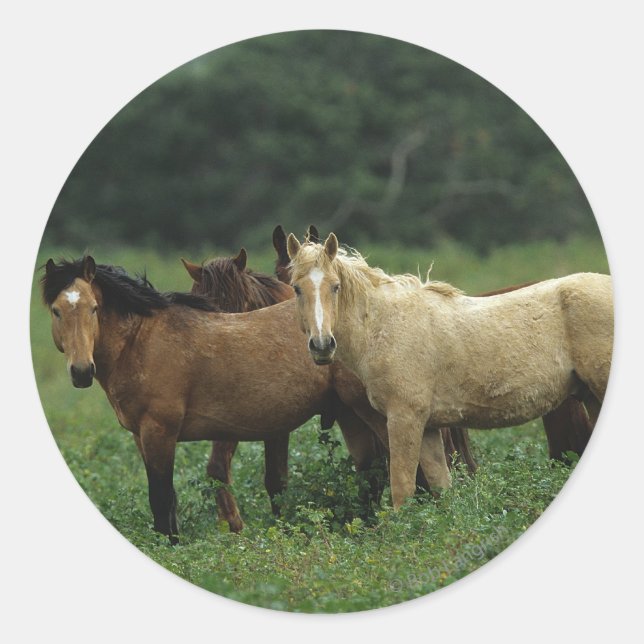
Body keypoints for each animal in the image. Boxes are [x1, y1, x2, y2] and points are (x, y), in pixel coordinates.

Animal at [41, 256, 386, 541]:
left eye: (94, 308)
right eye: (56, 311)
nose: (81, 371)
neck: (141, 340)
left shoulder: (159, 432)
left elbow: (161, 498)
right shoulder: (142, 437)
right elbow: (168, 500)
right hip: (350, 415)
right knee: (370, 471)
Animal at [286, 233, 613, 509]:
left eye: (335, 286)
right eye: (297, 288)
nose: (322, 345)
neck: (384, 326)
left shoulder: (404, 419)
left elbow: (402, 489)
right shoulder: (429, 428)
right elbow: (442, 488)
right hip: (592, 398)